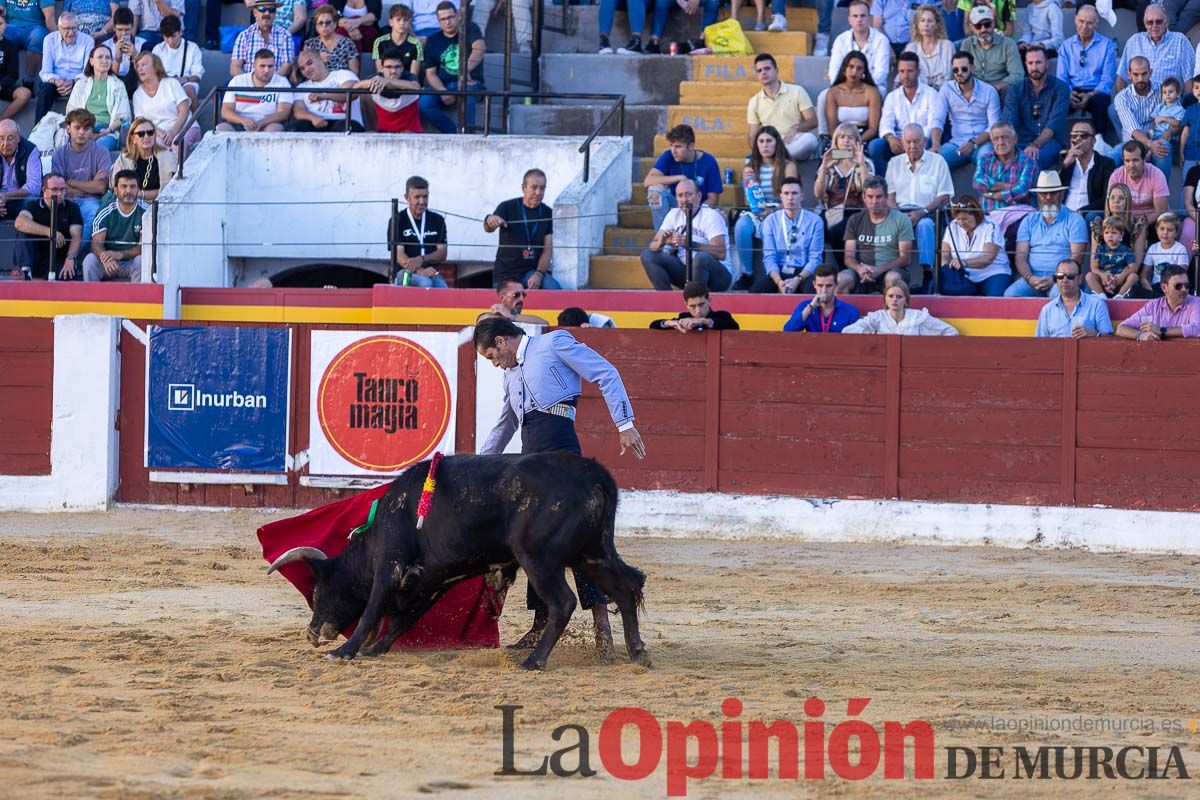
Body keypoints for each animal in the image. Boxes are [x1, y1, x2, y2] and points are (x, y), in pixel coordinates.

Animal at [268, 450, 652, 671]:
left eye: (318, 592)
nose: (312, 634)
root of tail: (594, 475)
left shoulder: (389, 568)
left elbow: (372, 612)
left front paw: (346, 651)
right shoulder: (429, 582)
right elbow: (401, 620)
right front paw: (376, 648)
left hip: (539, 559)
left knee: (563, 603)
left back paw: (534, 660)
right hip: (592, 554)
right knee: (626, 587)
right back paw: (637, 653)